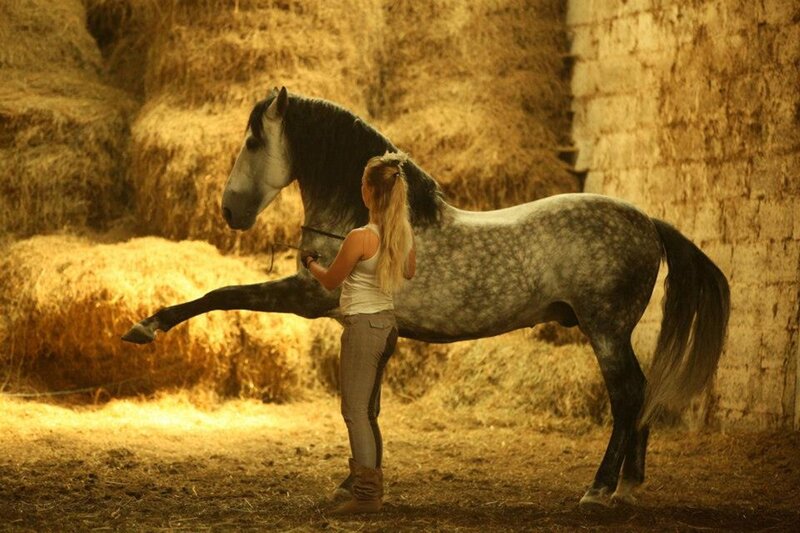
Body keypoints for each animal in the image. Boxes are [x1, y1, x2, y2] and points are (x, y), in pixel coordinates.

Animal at [123, 87, 730, 506]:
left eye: (252, 141)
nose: (230, 211)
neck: (371, 219)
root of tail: (648, 223)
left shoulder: (311, 296)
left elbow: (223, 292)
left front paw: (146, 326)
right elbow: (367, 409)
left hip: (605, 330)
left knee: (627, 398)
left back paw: (599, 491)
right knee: (641, 395)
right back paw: (628, 489)